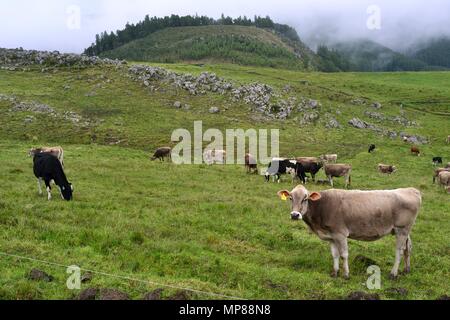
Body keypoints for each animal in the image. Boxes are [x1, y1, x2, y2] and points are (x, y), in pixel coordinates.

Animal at [278, 186, 422, 278]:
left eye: (305, 198)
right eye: (290, 198)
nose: (295, 215)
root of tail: (410, 189)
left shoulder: (340, 234)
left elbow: (344, 255)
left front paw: (346, 274)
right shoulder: (331, 236)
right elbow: (335, 255)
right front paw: (335, 273)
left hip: (401, 229)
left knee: (399, 250)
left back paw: (393, 273)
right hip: (405, 230)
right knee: (408, 248)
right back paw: (406, 270)